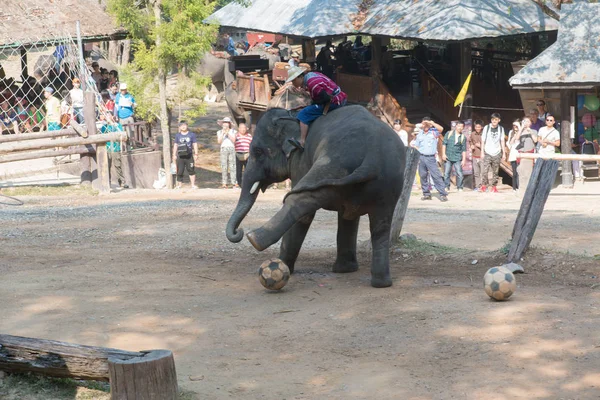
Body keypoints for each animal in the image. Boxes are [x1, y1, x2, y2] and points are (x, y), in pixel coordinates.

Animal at [227, 106, 406, 288]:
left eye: (258, 151)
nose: (238, 232)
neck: (292, 115)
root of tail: (372, 159)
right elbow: (348, 216)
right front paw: (345, 270)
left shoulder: (299, 161)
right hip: (387, 185)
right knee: (381, 225)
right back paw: (381, 283)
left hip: (332, 163)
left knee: (300, 202)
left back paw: (257, 241)